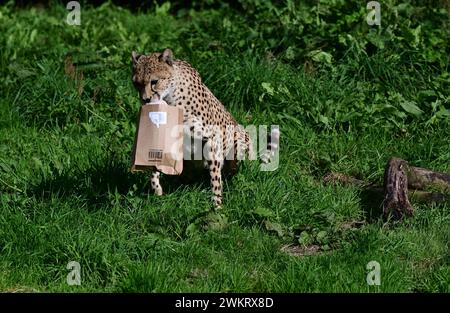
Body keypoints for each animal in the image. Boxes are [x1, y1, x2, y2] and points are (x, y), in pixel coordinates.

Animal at [131, 48, 278, 207]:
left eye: (154, 81)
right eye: (136, 84)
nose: (145, 99)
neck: (170, 96)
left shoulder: (213, 138)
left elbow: (215, 178)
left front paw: (217, 205)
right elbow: (156, 162)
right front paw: (156, 187)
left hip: (239, 140)